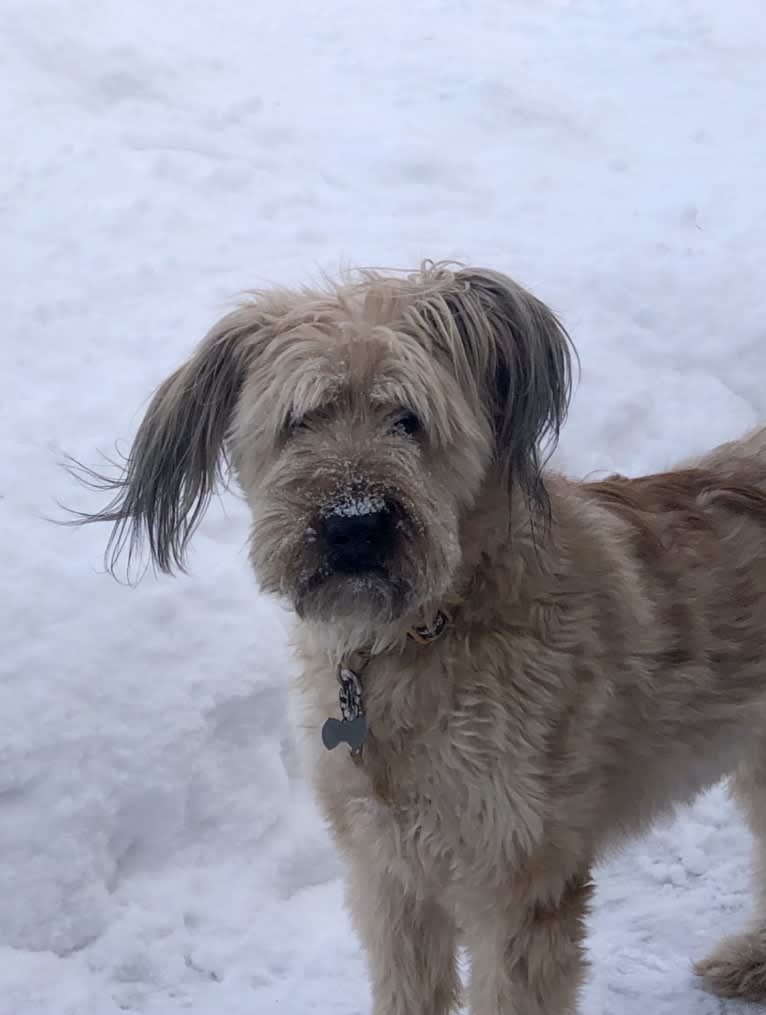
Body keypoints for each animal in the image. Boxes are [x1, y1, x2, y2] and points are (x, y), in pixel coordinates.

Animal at [75, 263, 766, 1015]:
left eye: (408, 419)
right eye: (300, 420)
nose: (354, 524)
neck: (418, 637)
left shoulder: (519, 877)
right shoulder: (389, 873)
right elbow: (408, 982)